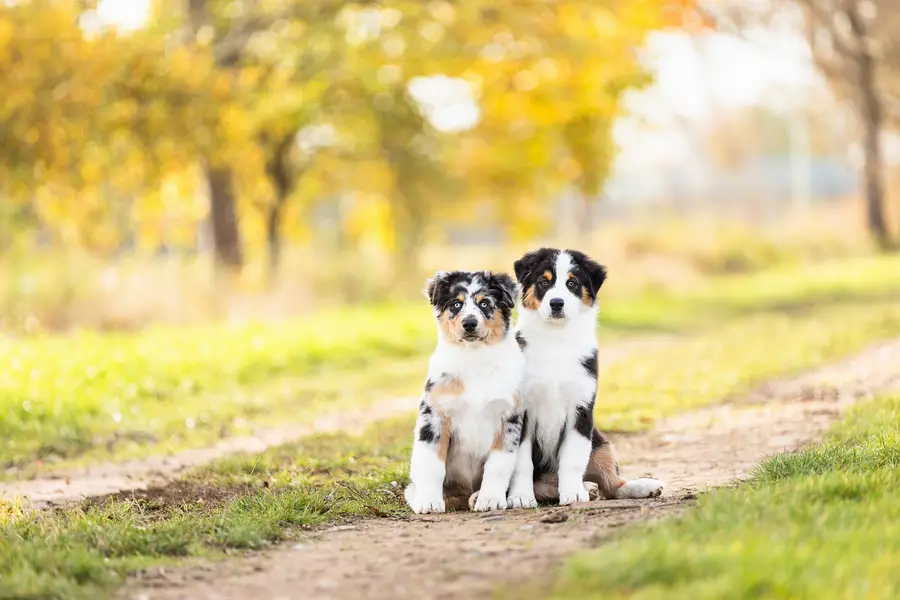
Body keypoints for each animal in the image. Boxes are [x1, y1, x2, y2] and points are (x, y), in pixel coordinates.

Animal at [406, 270, 532, 512]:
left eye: (485, 303)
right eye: (456, 304)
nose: (470, 323)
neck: (475, 358)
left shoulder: (509, 418)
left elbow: (498, 465)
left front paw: (490, 499)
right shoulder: (435, 415)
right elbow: (432, 464)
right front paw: (429, 501)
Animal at [510, 248, 664, 506]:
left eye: (572, 283)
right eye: (543, 282)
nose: (556, 303)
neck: (556, 340)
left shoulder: (581, 409)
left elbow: (572, 459)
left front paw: (572, 493)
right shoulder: (523, 412)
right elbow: (522, 462)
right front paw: (520, 497)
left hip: (600, 441)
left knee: (610, 483)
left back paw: (639, 486)